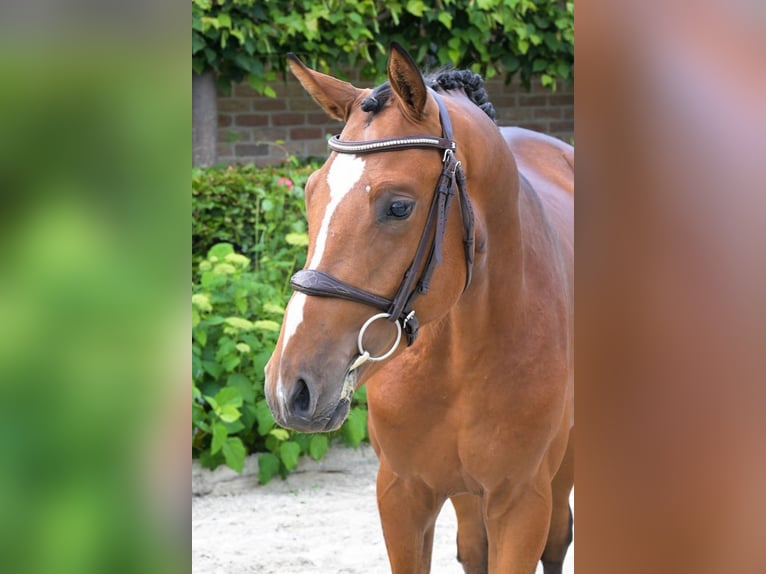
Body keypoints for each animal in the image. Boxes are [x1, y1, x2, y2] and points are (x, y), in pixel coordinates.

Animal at [264, 44, 568, 574]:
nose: (290, 387)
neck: (460, 354)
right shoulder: (402, 494)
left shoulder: (523, 502)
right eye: (309, 191)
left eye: (399, 207)